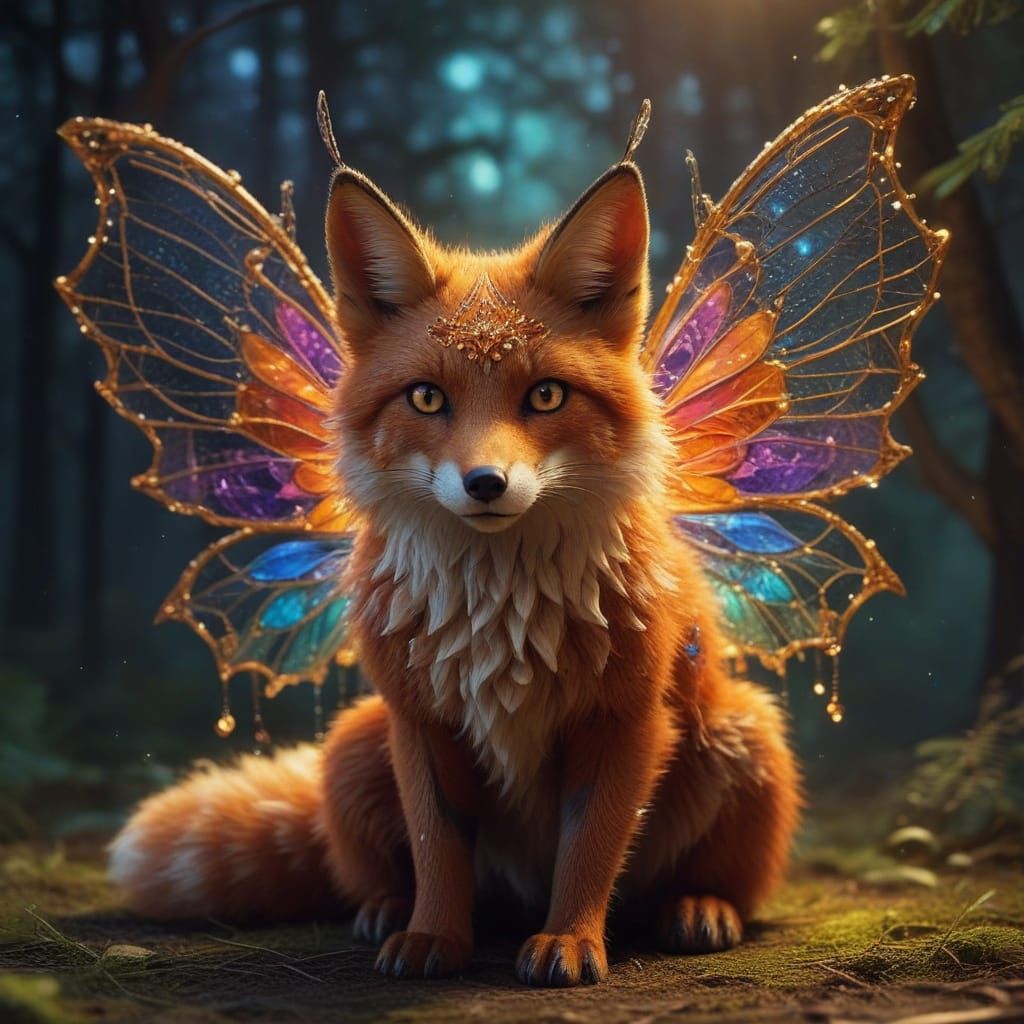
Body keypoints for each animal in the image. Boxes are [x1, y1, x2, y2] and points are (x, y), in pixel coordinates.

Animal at [108, 156, 801, 987]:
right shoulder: (420, 720)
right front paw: (433, 936)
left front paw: (570, 939)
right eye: (427, 397)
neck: (502, 613)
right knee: (377, 873)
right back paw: (385, 912)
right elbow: (437, 848)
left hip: (743, 733)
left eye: (545, 395)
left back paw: (700, 906)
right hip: (355, 744)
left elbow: (590, 849)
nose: (485, 484)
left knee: (719, 884)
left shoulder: (624, 719)